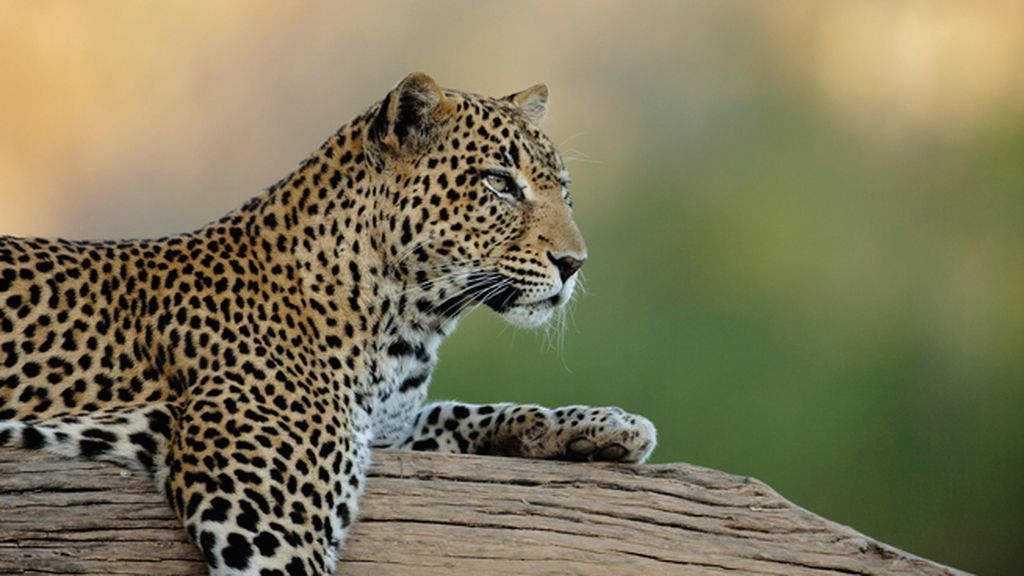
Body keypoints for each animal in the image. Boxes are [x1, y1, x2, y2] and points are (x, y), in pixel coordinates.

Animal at [0, 73, 657, 575]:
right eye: (499, 183)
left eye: (563, 190)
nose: (575, 263)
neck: (407, 328)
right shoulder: (264, 525)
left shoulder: (389, 427)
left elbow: (466, 411)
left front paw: (603, 426)